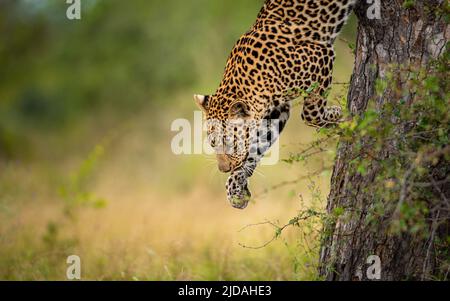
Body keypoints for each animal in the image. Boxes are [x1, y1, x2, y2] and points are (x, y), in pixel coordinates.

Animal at [195, 0, 356, 207]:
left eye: (230, 142)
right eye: (213, 143)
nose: (223, 169)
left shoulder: (321, 53)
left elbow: (310, 113)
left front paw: (337, 114)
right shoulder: (277, 110)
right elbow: (257, 145)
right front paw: (235, 187)